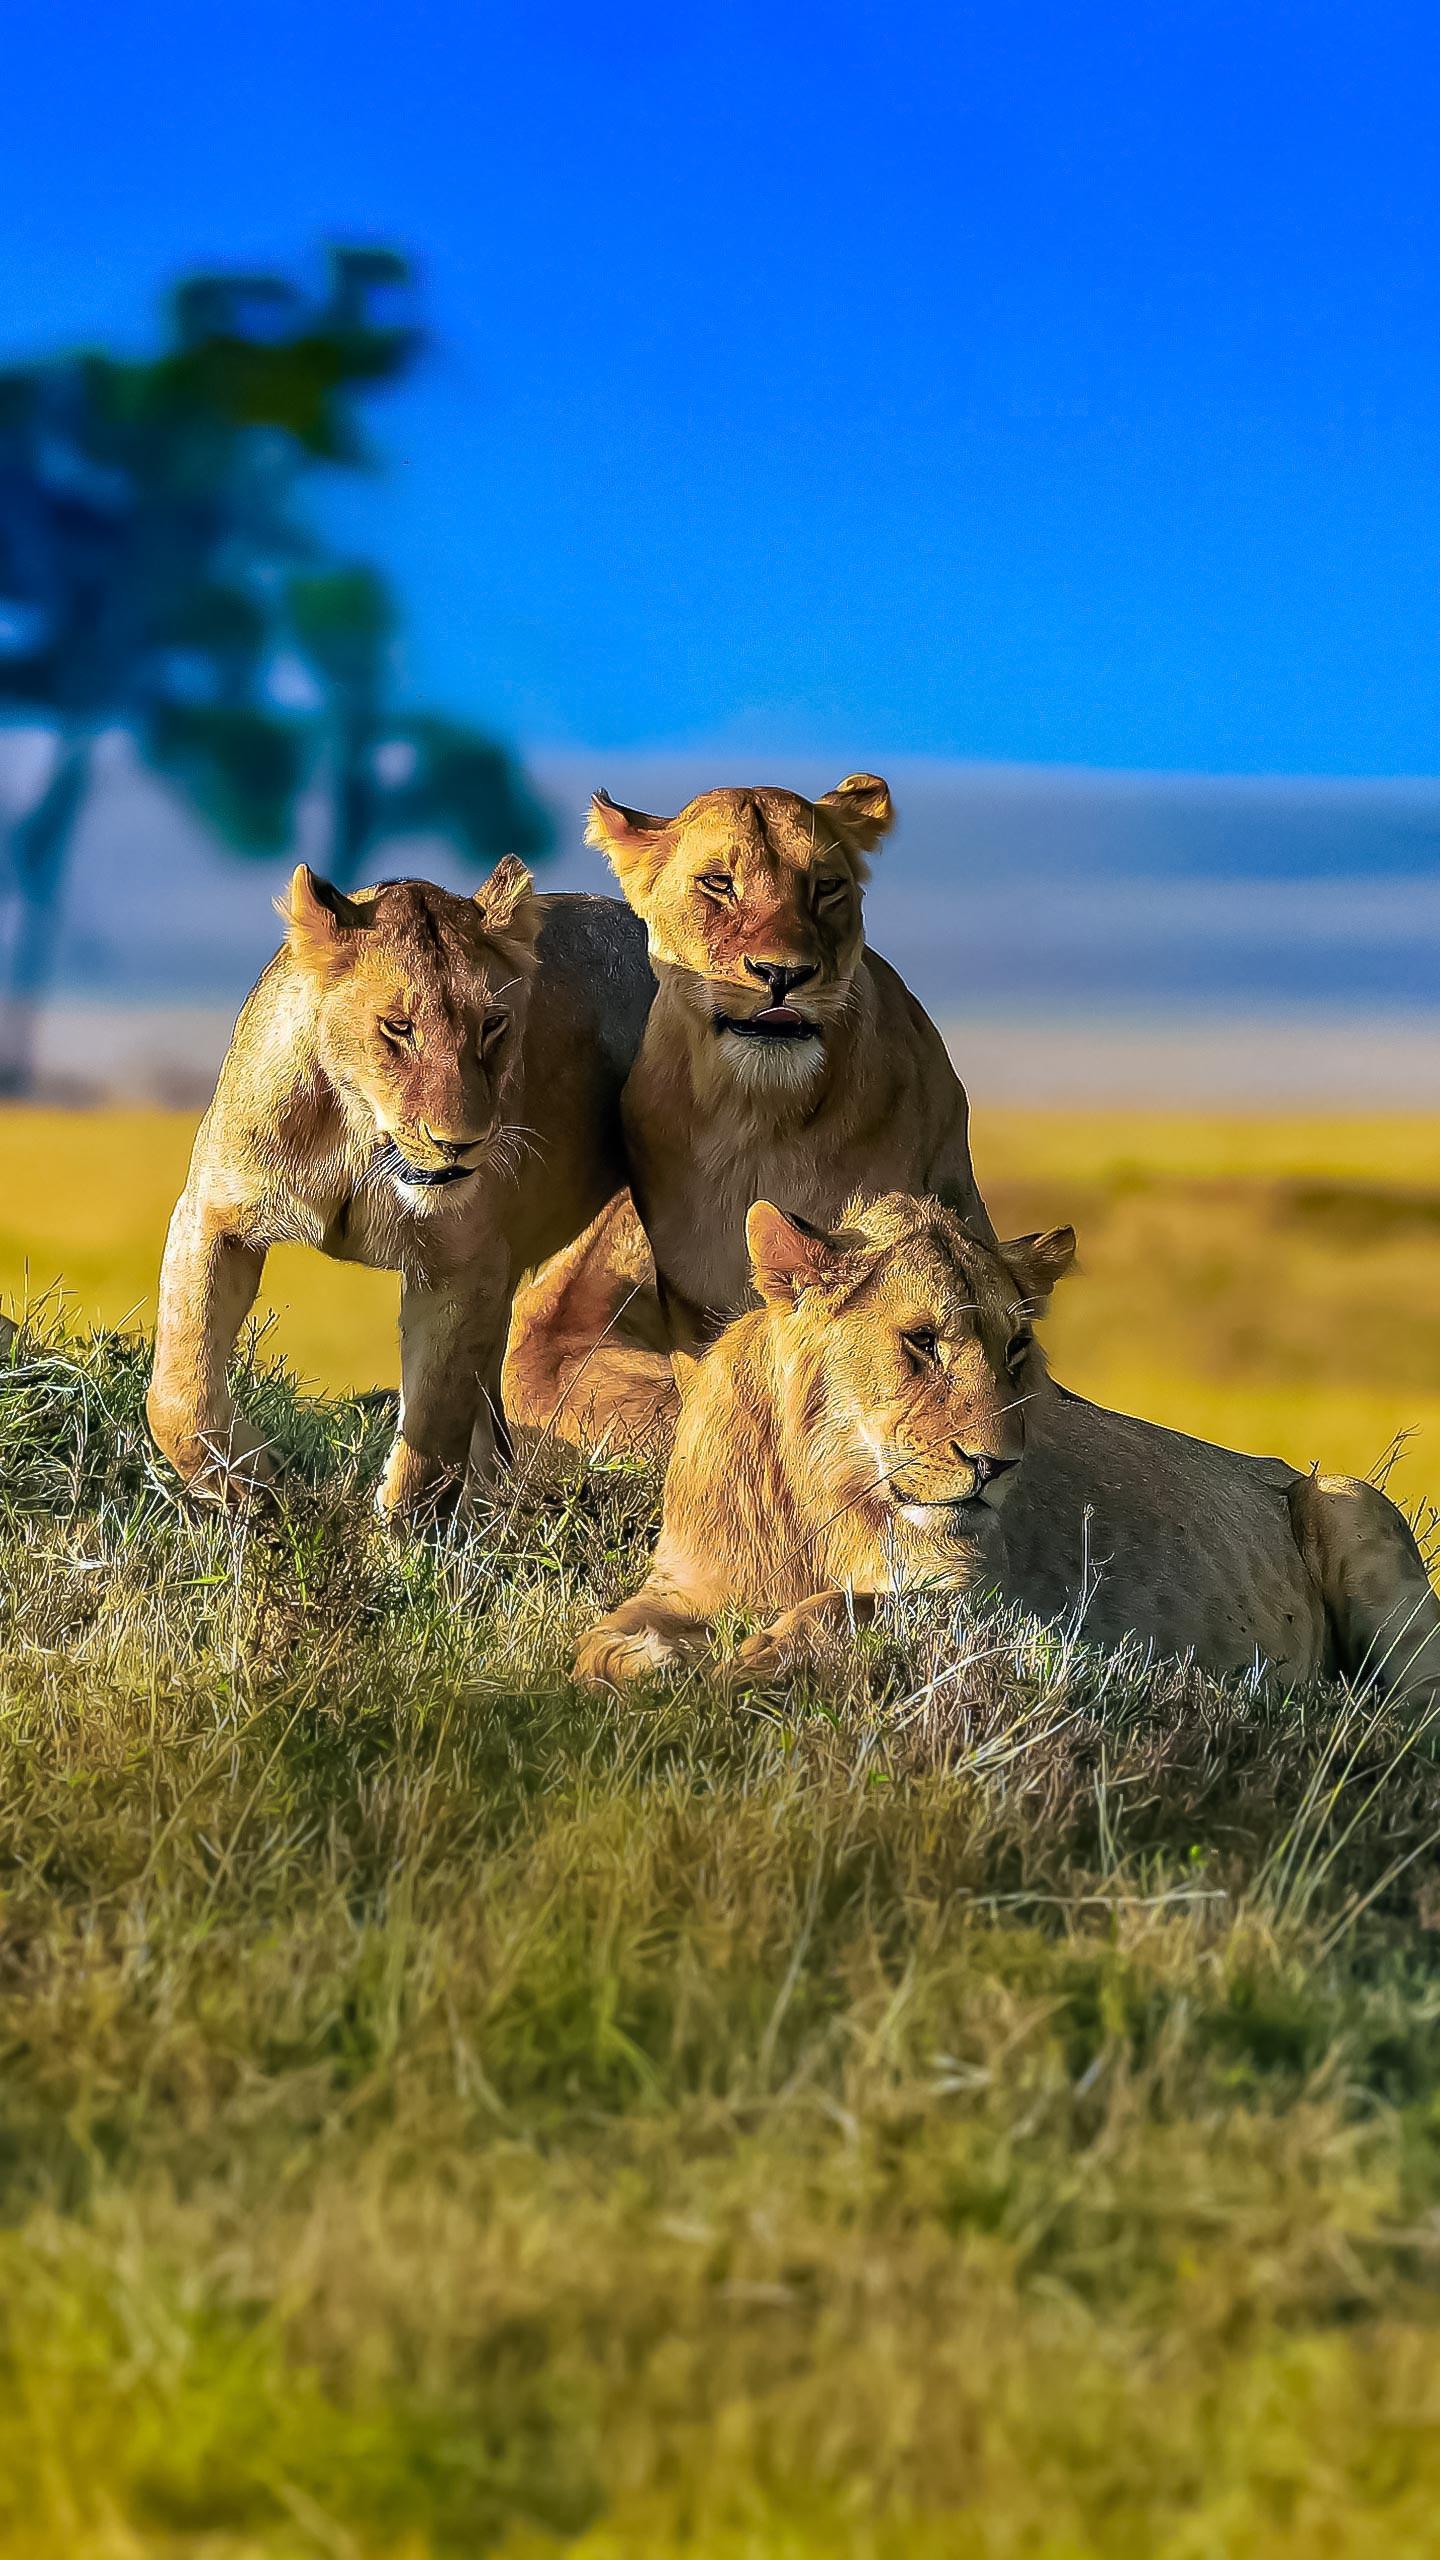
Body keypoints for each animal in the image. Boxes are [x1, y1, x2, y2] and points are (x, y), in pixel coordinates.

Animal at [148, 858, 653, 1521]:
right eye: (397, 1028)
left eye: (493, 1026)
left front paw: (398, 1532)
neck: (361, 1140)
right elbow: (176, 1389)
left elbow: (433, 1427)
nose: (460, 1143)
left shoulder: (463, 1266)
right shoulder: (214, 1215)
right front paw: (249, 1481)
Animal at [573, 1192, 1440, 1715]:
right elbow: (600, 1640)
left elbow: (843, 1608)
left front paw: (750, 1664)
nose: (996, 1466)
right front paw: (652, 1664)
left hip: (1350, 1500)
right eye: (921, 1342)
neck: (823, 1495)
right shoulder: (685, 1582)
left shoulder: (992, 1610)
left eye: (1016, 1347)